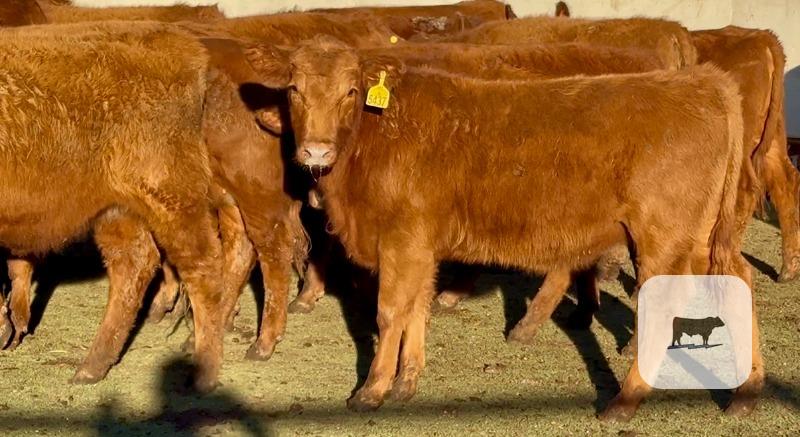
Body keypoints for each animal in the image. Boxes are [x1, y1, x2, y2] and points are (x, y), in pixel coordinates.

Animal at [0, 22, 225, 392]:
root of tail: (178, 42)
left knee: (202, 269)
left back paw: (204, 372)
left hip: (173, 199)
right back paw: (93, 366)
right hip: (117, 209)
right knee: (133, 266)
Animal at [244, 37, 761, 421]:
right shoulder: (422, 246)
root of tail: (702, 81)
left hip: (664, 237)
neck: (375, 136)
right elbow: (416, 309)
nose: (315, 151)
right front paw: (407, 382)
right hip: (704, 237)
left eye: (351, 91)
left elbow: (390, 313)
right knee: (738, 280)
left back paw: (624, 401)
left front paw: (371, 390)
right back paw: (746, 393)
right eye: (293, 89)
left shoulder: (402, 240)